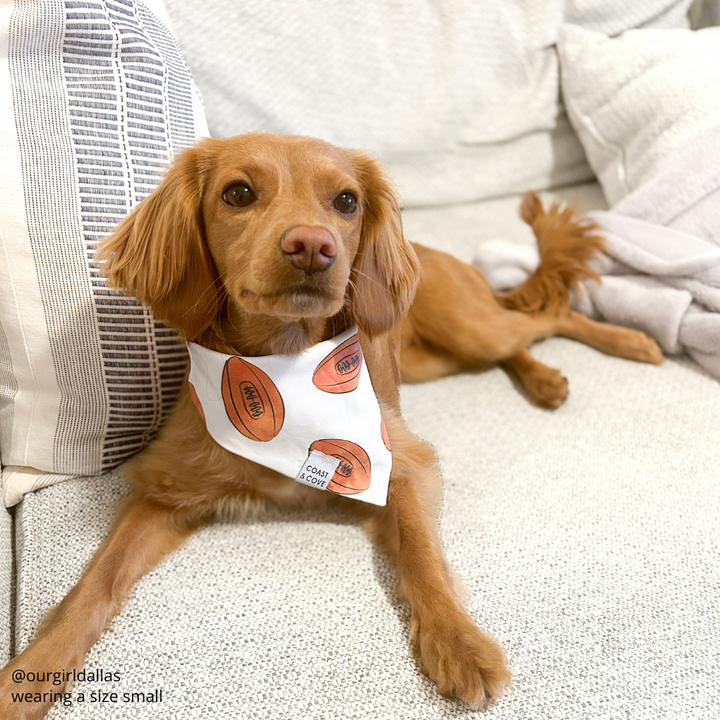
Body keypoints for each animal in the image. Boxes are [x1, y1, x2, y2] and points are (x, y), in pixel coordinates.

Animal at [0, 132, 660, 716]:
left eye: (345, 201)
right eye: (238, 193)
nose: (313, 246)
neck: (287, 373)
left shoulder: (400, 462)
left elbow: (421, 553)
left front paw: (459, 643)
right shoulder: (166, 493)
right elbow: (95, 584)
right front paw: (30, 675)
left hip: (466, 326)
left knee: (548, 316)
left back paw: (627, 343)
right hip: (435, 357)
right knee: (521, 338)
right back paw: (547, 377)